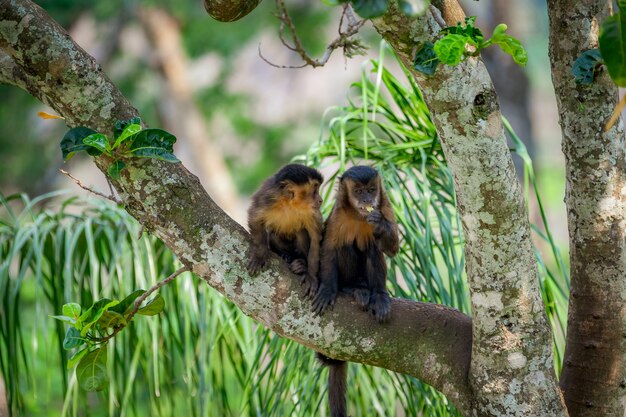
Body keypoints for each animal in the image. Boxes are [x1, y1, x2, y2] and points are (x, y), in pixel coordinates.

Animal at [245, 162, 322, 296]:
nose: (320, 200)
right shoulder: (268, 196)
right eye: (314, 191)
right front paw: (260, 255)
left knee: (301, 232)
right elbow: (255, 218)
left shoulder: (312, 211)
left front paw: (311, 276)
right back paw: (285, 255)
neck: (290, 204)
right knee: (273, 234)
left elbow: (315, 237)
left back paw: (301, 264)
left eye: (317, 190)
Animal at [310, 164, 398, 416]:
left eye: (371, 190)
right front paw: (328, 291)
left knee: (373, 246)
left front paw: (379, 225)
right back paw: (352, 289)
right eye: (358, 191)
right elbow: (328, 249)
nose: (367, 200)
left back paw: (376, 294)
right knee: (346, 246)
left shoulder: (385, 206)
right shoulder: (337, 215)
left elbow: (393, 248)